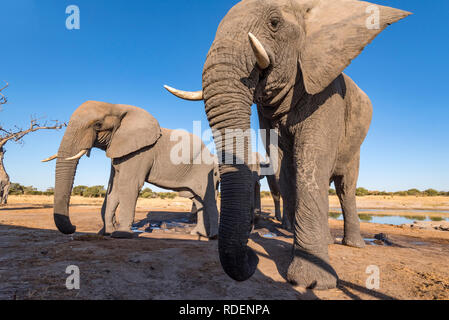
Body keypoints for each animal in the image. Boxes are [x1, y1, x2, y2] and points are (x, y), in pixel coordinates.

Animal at [44, 101, 220, 239]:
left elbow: (128, 185)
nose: (74, 228)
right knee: (198, 199)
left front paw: (120, 234)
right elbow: (113, 189)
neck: (116, 106)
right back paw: (198, 234)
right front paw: (106, 233)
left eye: (97, 125)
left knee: (207, 197)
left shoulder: (141, 152)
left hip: (205, 170)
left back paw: (212, 236)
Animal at [165, 0, 410, 288]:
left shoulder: (327, 93)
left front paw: (312, 283)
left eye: (274, 23)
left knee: (345, 186)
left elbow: (311, 161)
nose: (252, 258)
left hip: (355, 144)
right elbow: (284, 166)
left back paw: (353, 245)